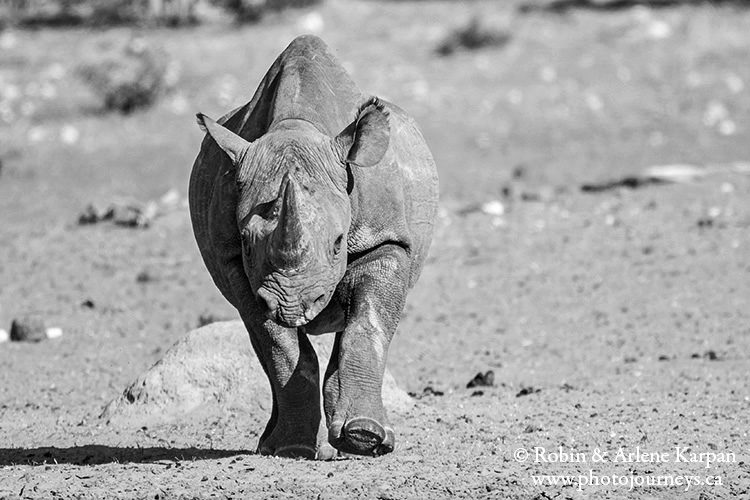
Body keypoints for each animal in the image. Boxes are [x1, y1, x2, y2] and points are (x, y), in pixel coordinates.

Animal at [191, 33, 440, 458]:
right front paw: (290, 447)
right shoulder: (239, 266)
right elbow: (279, 346)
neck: (296, 127)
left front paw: (365, 438)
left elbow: (367, 324)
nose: (294, 304)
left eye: (339, 243)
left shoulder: (387, 239)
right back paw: (272, 444)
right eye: (246, 243)